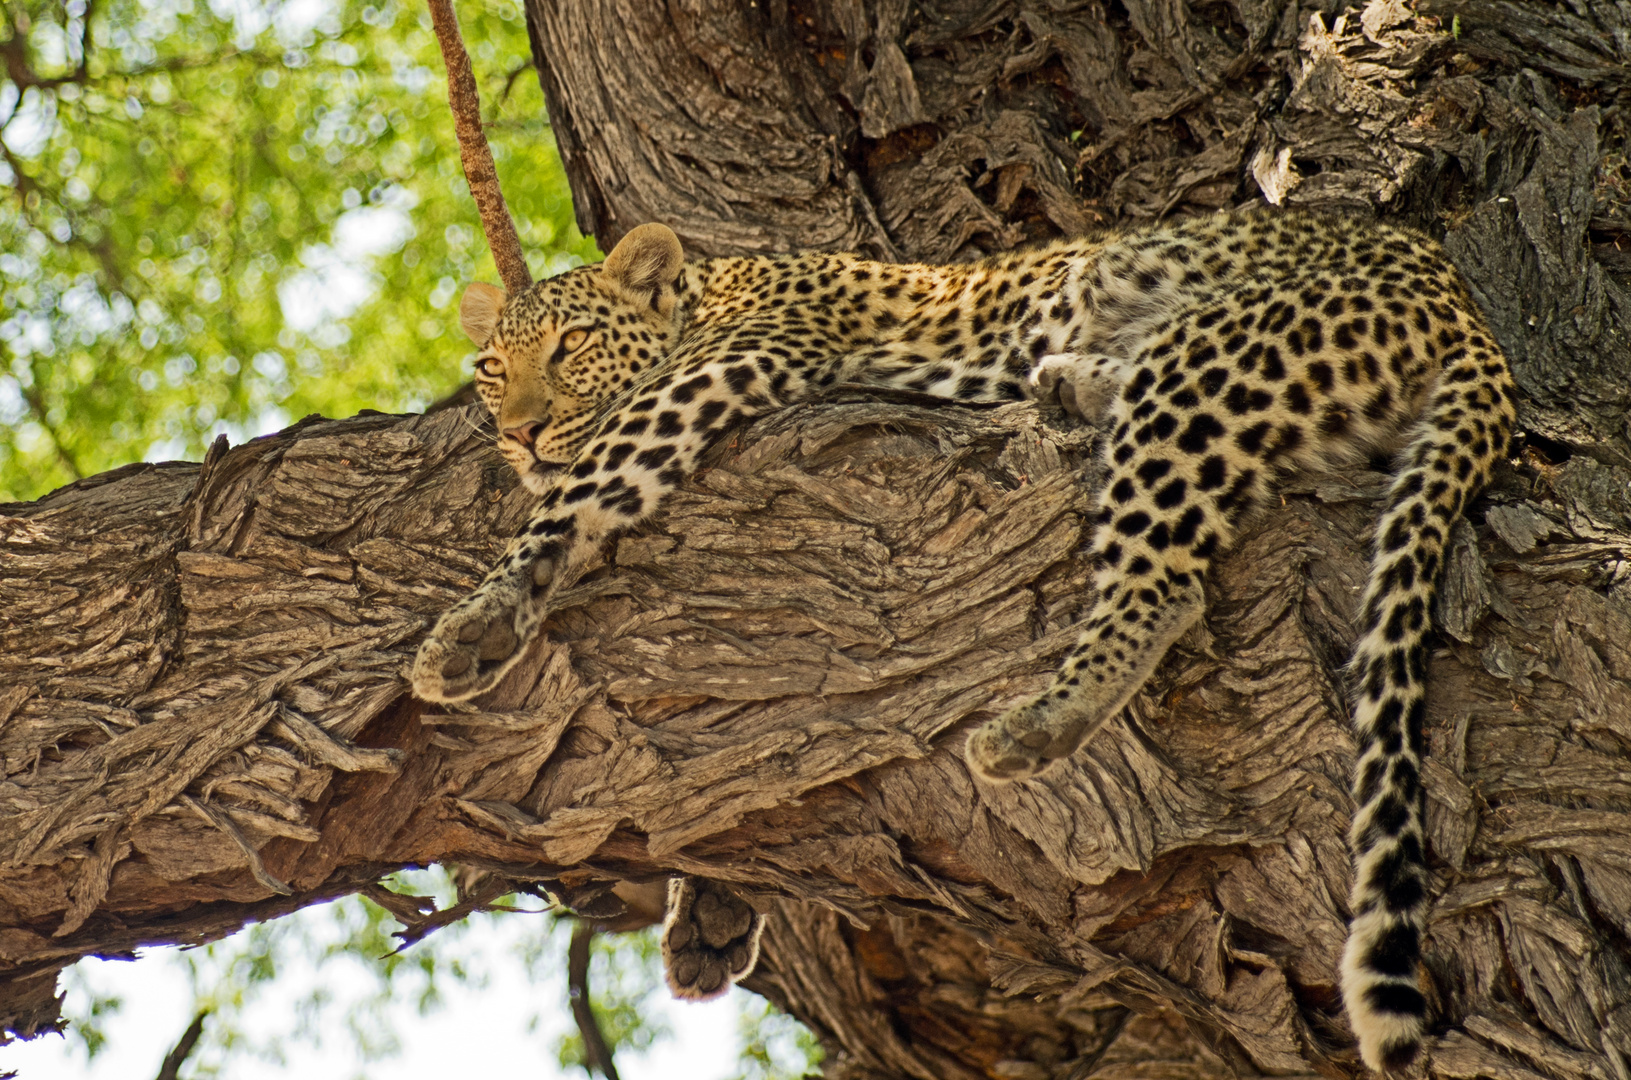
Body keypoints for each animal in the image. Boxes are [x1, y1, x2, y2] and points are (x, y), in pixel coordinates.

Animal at [407, 212, 1513, 1076]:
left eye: (569, 348)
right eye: (492, 370)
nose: (519, 432)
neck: (707, 290)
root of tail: (1462, 304)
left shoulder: (714, 373)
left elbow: (577, 494)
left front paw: (473, 626)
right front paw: (706, 917)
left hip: (1210, 363)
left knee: (1165, 583)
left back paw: (1034, 724)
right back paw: (1070, 381)